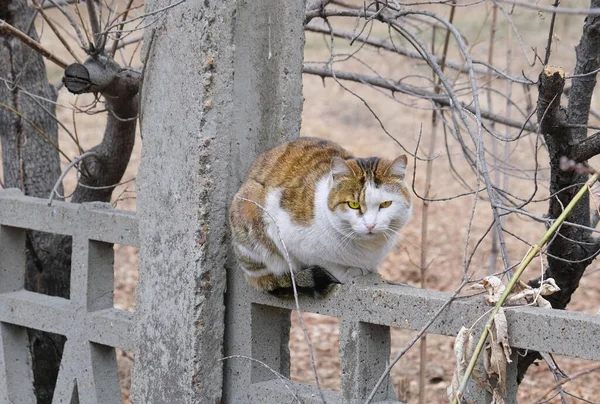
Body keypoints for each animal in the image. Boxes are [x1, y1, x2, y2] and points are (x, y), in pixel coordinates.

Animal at [227, 137, 410, 296]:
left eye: (385, 204)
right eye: (353, 204)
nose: (370, 225)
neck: (368, 248)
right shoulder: (289, 235)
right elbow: (325, 261)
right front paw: (348, 273)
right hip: (249, 210)